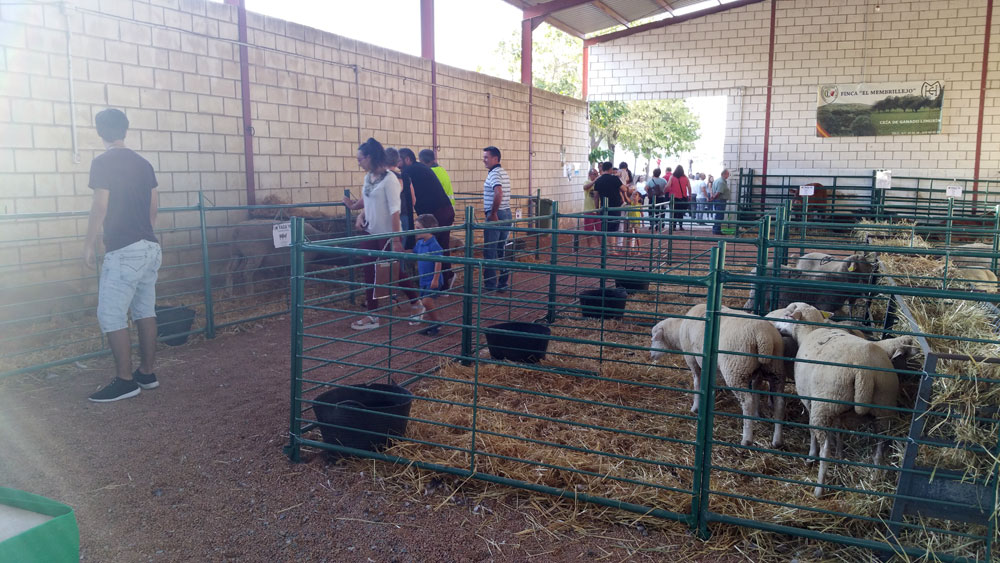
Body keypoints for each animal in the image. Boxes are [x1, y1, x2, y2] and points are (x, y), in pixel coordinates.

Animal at [648, 304, 788, 450]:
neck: (679, 329)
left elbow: (697, 382)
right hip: (776, 370)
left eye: (654, 339)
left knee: (747, 402)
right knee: (779, 402)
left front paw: (695, 407)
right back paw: (777, 440)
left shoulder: (692, 359)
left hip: (736, 370)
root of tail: (764, 337)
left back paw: (746, 439)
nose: (650, 355)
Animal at [768, 304, 916, 498]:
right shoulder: (837, 408)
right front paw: (840, 453)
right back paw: (875, 478)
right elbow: (840, 430)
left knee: (825, 448)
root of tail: (864, 373)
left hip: (824, 406)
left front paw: (812, 455)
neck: (810, 331)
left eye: (787, 314)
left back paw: (819, 488)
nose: (774, 325)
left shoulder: (811, 401)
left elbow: (812, 431)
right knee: (881, 445)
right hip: (883, 405)